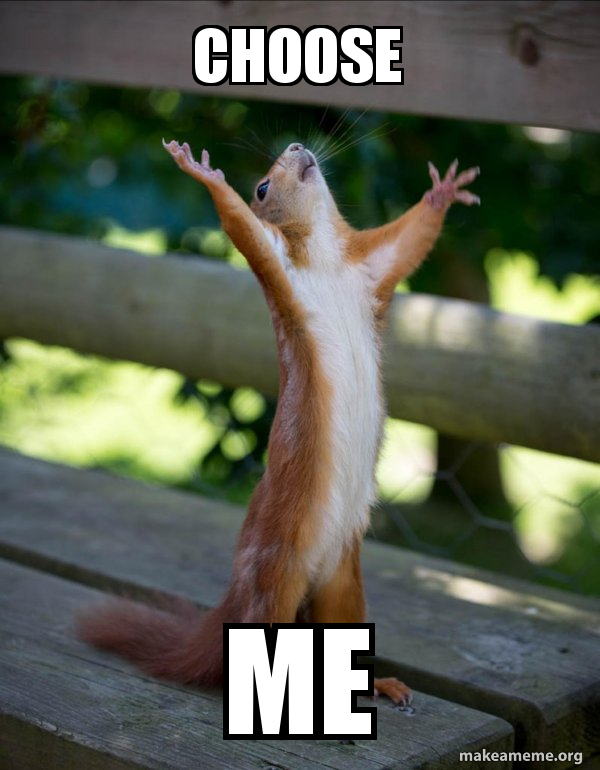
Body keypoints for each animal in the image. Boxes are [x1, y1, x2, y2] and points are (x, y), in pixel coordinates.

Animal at [77, 138, 479, 706]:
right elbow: (240, 226)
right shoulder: (277, 265)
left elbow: (410, 239)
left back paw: (377, 684)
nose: (296, 146)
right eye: (262, 187)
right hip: (274, 579)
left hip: (344, 589)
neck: (327, 259)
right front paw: (203, 173)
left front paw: (442, 192)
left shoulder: (372, 267)